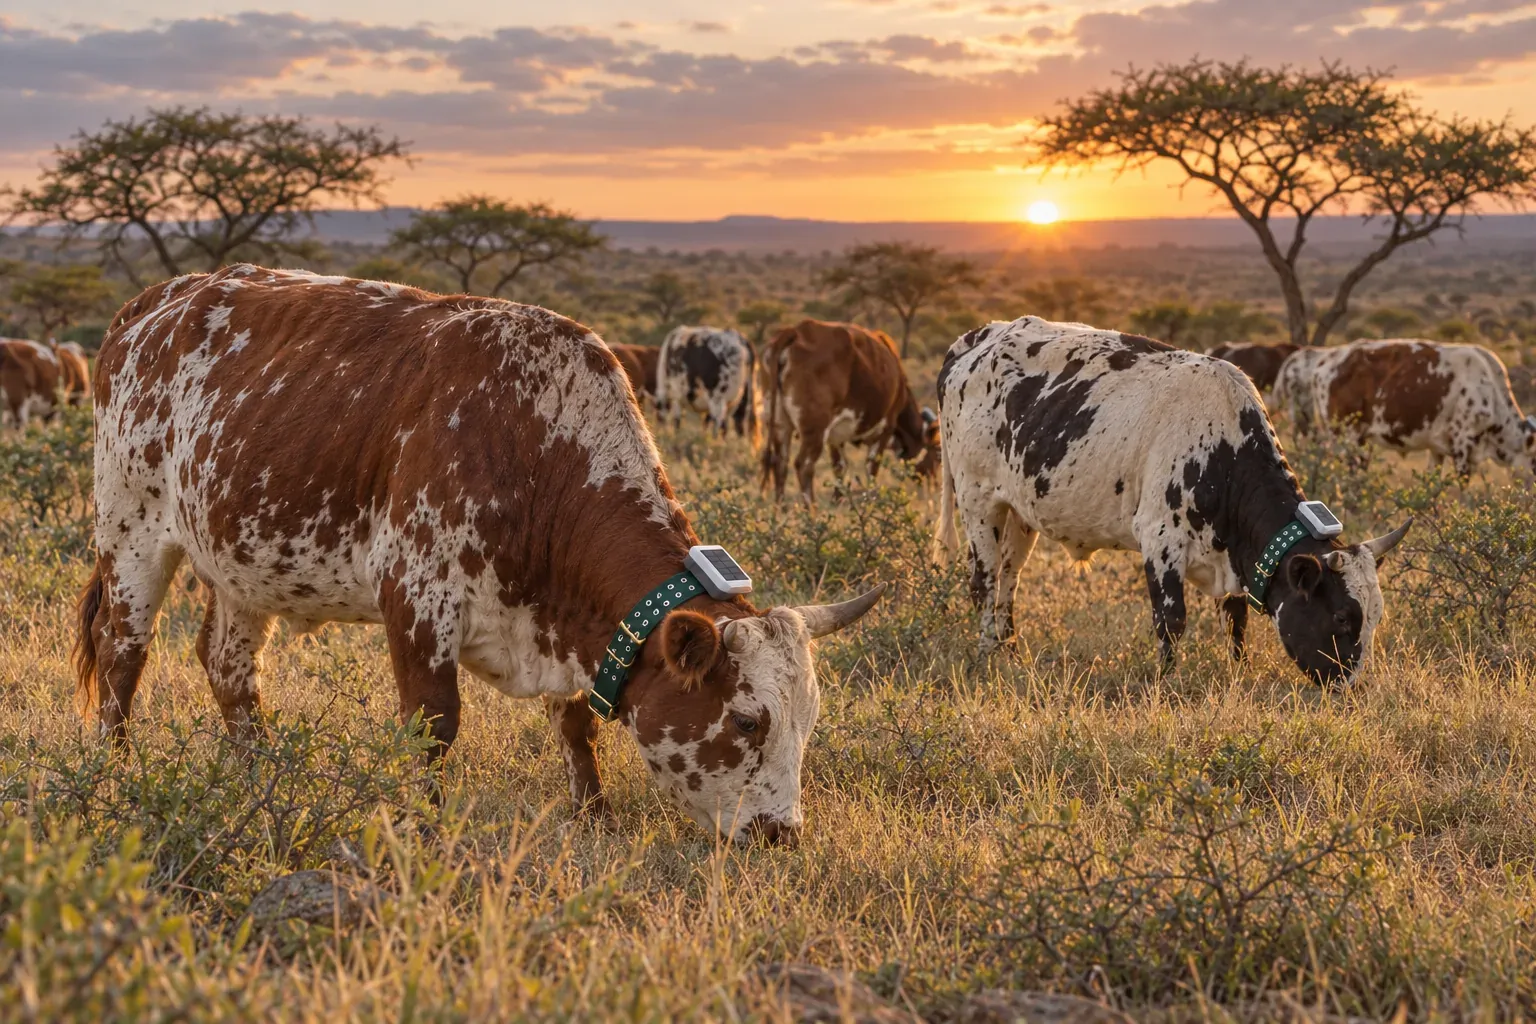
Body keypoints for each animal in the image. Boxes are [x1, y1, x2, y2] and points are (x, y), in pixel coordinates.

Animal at [74, 265, 884, 845]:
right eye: (747, 720)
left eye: (809, 719)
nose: (781, 833)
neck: (533, 443)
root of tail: (151, 304)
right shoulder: (416, 599)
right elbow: (433, 728)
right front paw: (421, 828)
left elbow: (577, 722)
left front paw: (594, 815)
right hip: (131, 530)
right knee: (122, 654)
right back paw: (115, 776)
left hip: (242, 563)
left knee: (230, 668)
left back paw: (259, 777)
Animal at [759, 319, 940, 503]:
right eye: (938, 453)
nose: (934, 485)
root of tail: (796, 331)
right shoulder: (885, 427)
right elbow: (871, 469)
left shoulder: (835, 436)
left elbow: (839, 467)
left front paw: (837, 500)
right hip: (815, 428)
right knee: (803, 465)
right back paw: (811, 509)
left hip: (780, 424)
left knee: (780, 463)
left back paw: (780, 507)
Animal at [932, 317, 1410, 685]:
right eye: (1343, 617)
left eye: (1376, 617)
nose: (1352, 686)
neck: (1223, 450)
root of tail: (978, 337)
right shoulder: (1161, 542)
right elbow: (1171, 621)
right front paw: (1166, 682)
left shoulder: (1230, 561)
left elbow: (1235, 624)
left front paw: (1238, 674)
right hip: (977, 504)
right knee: (984, 583)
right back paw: (985, 656)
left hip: (1019, 515)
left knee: (1009, 581)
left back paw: (1011, 653)